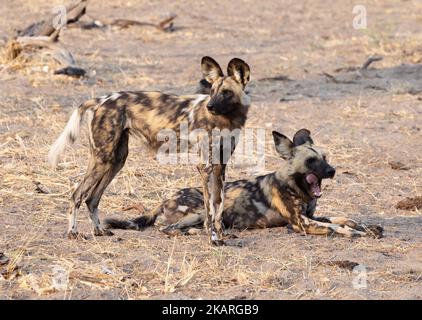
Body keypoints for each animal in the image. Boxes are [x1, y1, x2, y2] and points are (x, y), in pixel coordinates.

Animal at [47, 56, 251, 245]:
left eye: (226, 92)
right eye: (211, 91)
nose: (210, 106)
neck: (227, 120)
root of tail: (100, 100)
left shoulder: (220, 167)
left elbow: (218, 205)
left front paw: (222, 234)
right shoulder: (206, 167)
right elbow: (210, 209)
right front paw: (213, 238)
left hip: (116, 161)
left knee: (91, 199)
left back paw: (99, 230)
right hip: (103, 159)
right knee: (76, 195)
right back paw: (73, 232)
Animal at [104, 129, 382, 239]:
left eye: (325, 158)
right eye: (312, 161)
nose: (332, 171)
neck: (298, 189)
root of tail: (165, 199)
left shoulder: (312, 216)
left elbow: (343, 218)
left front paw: (367, 227)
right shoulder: (301, 224)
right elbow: (337, 227)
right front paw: (355, 233)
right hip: (199, 212)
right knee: (171, 229)